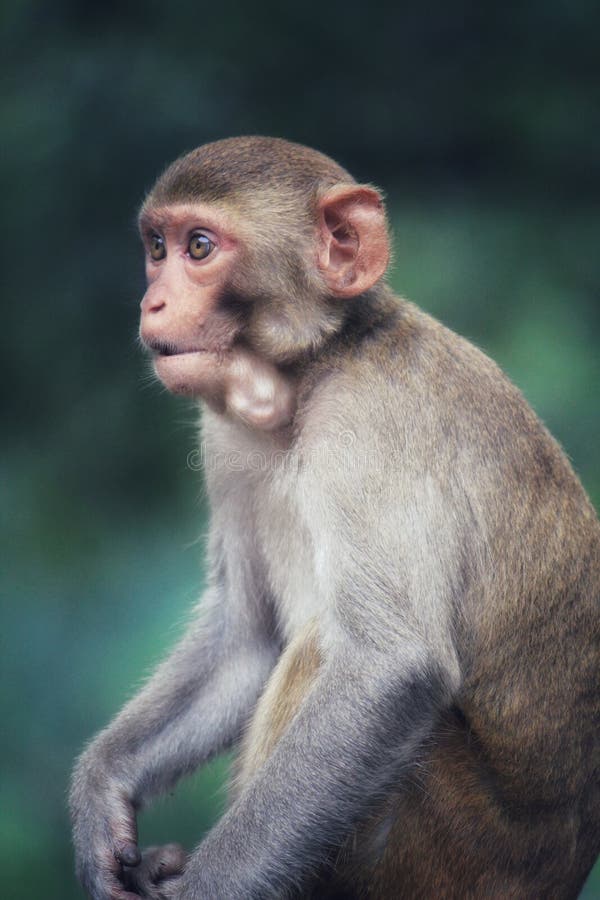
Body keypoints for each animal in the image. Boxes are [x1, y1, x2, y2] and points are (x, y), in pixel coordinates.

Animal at [71, 135, 600, 900]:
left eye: (200, 247)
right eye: (157, 247)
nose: (153, 301)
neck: (315, 370)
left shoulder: (372, 425)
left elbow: (389, 666)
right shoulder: (223, 440)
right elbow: (248, 638)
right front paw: (101, 790)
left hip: (449, 855)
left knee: (326, 647)